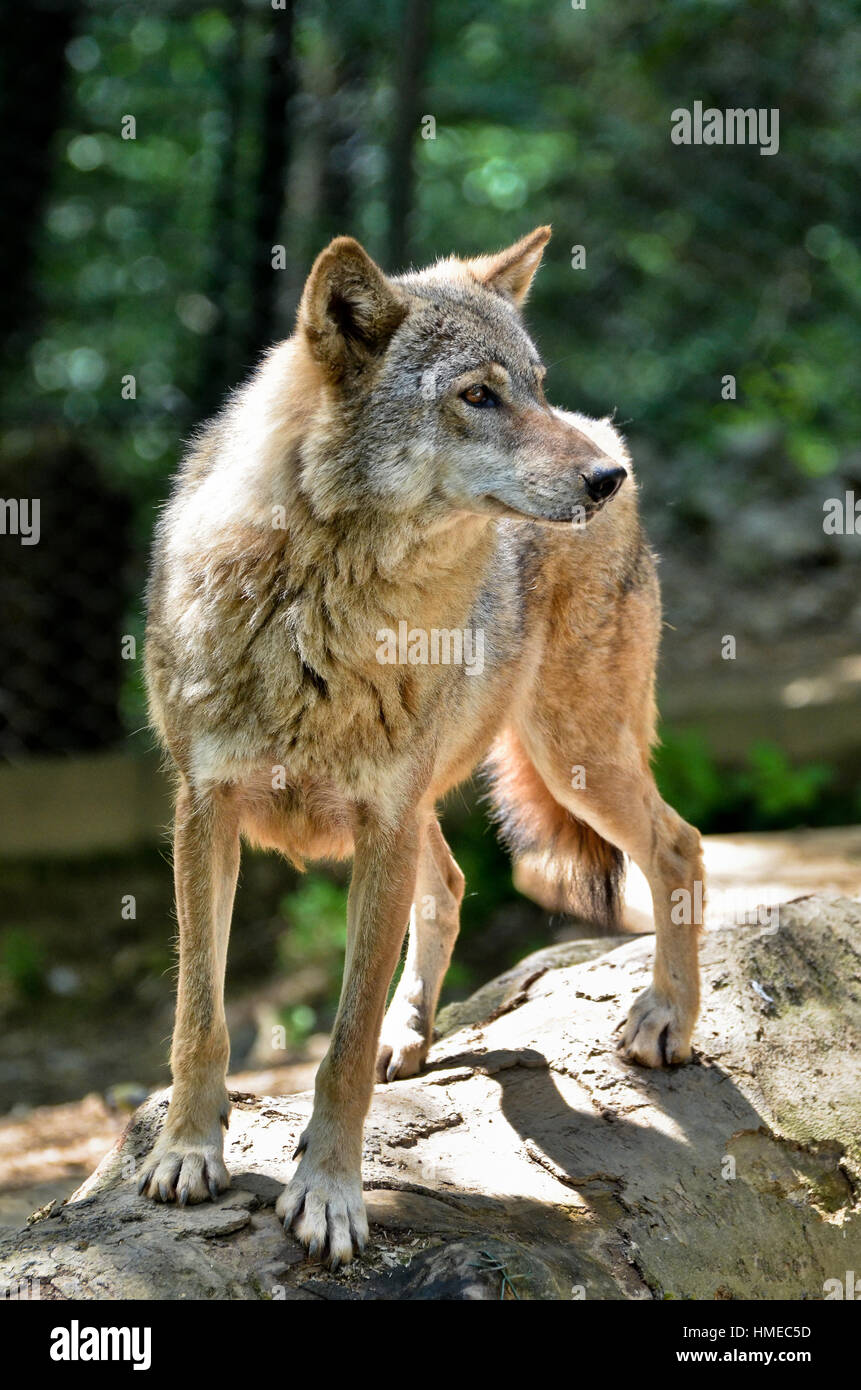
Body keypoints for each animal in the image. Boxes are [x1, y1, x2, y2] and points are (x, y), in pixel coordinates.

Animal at [143, 227, 706, 1273]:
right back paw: (412, 1034)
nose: (602, 480)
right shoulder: (206, 811)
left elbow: (338, 1050)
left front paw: (328, 1194)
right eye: (478, 396)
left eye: (532, 385)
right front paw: (188, 1153)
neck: (320, 603)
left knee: (678, 845)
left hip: (565, 758)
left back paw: (664, 1020)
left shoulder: (381, 818)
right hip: (454, 796)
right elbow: (200, 1015)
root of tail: (609, 430)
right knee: (449, 886)